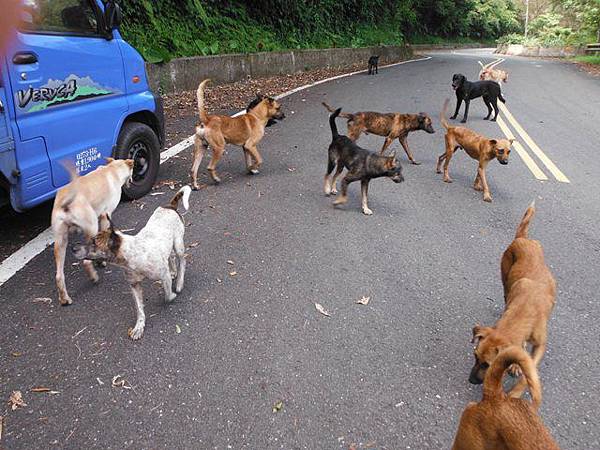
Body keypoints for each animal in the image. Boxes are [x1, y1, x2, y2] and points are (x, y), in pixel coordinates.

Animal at [51, 157, 134, 306]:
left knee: (59, 275)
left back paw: (64, 299)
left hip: (60, 241)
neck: (112, 169)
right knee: (86, 261)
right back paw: (94, 275)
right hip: (91, 227)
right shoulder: (105, 216)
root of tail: (66, 202)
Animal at [72, 186, 192, 342]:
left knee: (182, 261)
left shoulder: (162, 275)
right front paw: (139, 327)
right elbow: (139, 309)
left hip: (178, 244)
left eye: (94, 243)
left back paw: (179, 282)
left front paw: (171, 295)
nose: (73, 248)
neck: (132, 253)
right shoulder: (134, 285)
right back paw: (173, 272)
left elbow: (167, 295)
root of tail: (170, 206)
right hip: (169, 245)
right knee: (170, 257)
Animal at [468, 202, 556, 402]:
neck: (525, 309)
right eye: (475, 356)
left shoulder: (540, 345)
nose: (471, 381)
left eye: (487, 364)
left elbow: (529, 368)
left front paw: (516, 392)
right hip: (505, 279)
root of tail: (523, 239)